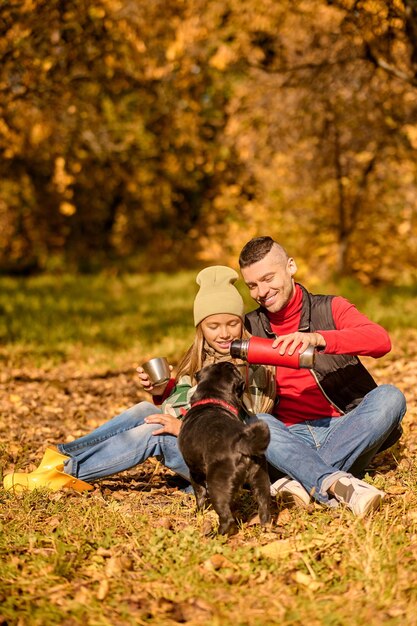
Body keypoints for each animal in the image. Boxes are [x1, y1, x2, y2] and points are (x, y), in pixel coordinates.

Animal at [177, 360, 272, 532]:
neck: (212, 399)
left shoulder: (195, 472)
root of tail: (241, 443)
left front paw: (197, 513)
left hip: (217, 484)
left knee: (227, 519)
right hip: (261, 481)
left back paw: (216, 534)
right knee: (264, 510)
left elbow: (200, 496)